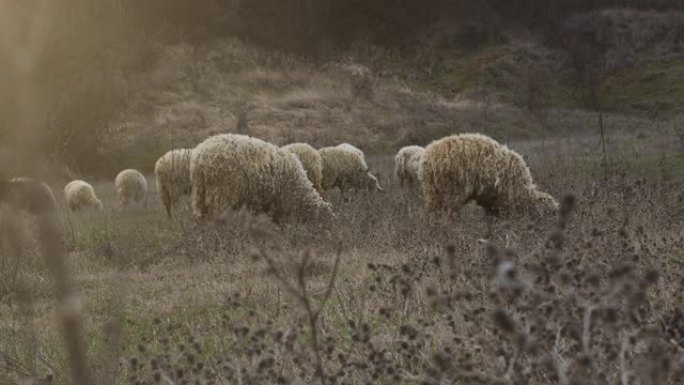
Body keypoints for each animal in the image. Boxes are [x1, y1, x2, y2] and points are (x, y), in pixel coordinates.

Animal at [420, 133, 560, 218]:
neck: (525, 193)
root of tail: (429, 156)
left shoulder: (492, 200)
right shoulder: (505, 199)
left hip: (433, 192)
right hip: (449, 192)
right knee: (444, 214)